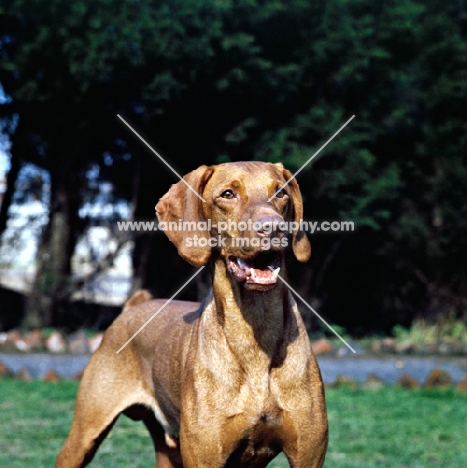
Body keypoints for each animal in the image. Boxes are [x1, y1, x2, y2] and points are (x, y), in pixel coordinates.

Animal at [56, 161, 330, 468]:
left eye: (281, 193)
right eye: (227, 194)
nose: (273, 228)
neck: (256, 336)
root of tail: (132, 307)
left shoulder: (308, 456)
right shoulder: (204, 457)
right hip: (85, 432)